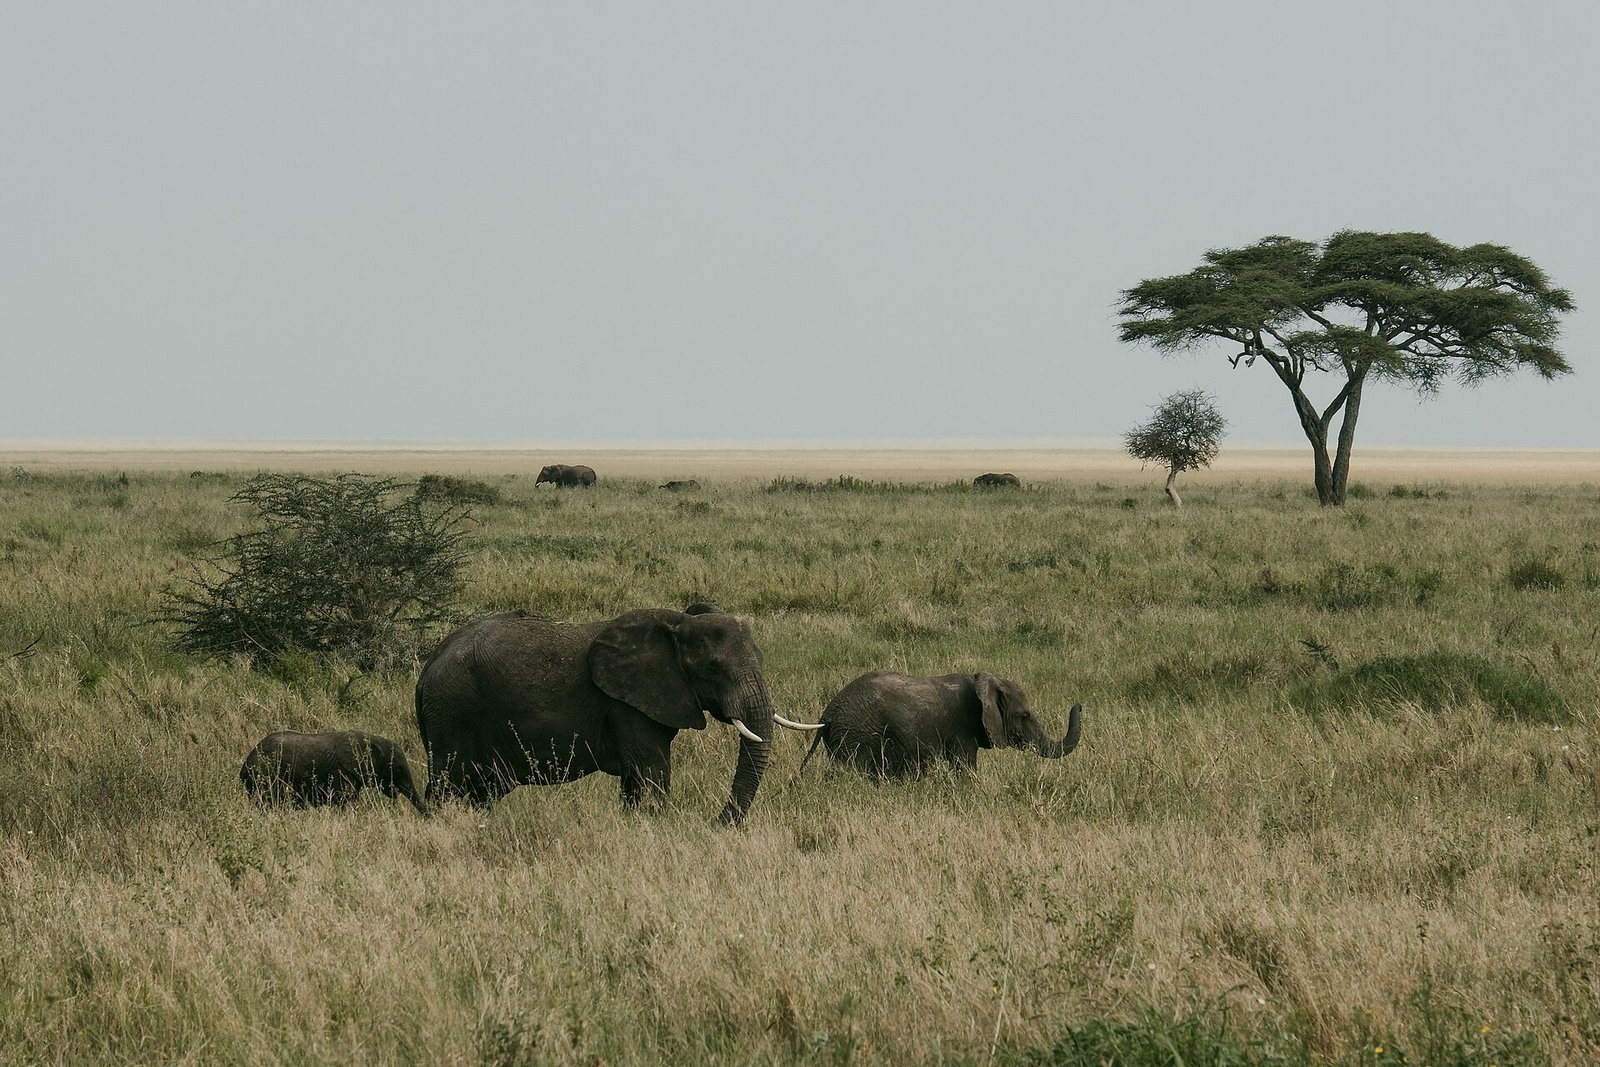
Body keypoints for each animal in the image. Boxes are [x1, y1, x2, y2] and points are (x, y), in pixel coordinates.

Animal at [240, 730, 428, 813]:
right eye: (398, 768)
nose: (430, 816)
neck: (371, 739)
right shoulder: (341, 772)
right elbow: (343, 799)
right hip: (264, 774)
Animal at [414, 605, 820, 823]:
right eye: (713, 669)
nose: (715, 823)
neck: (677, 625)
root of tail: (428, 666)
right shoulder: (627, 704)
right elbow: (651, 773)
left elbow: (635, 780)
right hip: (452, 711)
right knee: (449, 784)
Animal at [798, 671, 1082, 779]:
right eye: (1025, 716)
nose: (1079, 705)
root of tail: (827, 714)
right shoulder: (962, 730)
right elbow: (965, 769)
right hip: (855, 735)